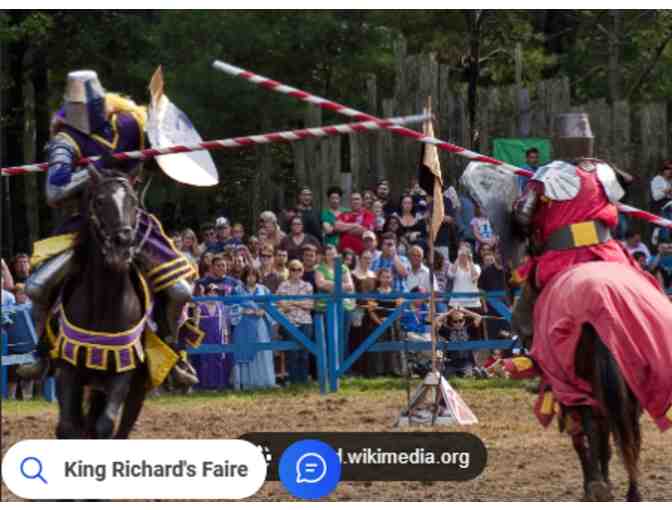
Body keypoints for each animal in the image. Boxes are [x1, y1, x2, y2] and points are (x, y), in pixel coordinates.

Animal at [54, 168, 150, 438]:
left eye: (134, 202)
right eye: (99, 201)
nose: (122, 246)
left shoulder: (123, 371)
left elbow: (105, 424)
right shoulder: (68, 369)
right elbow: (67, 427)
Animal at [512, 280, 644, 500]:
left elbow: (584, 441)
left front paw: (594, 482)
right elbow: (602, 442)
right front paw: (604, 481)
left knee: (595, 430)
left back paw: (598, 485)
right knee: (629, 433)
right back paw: (632, 491)